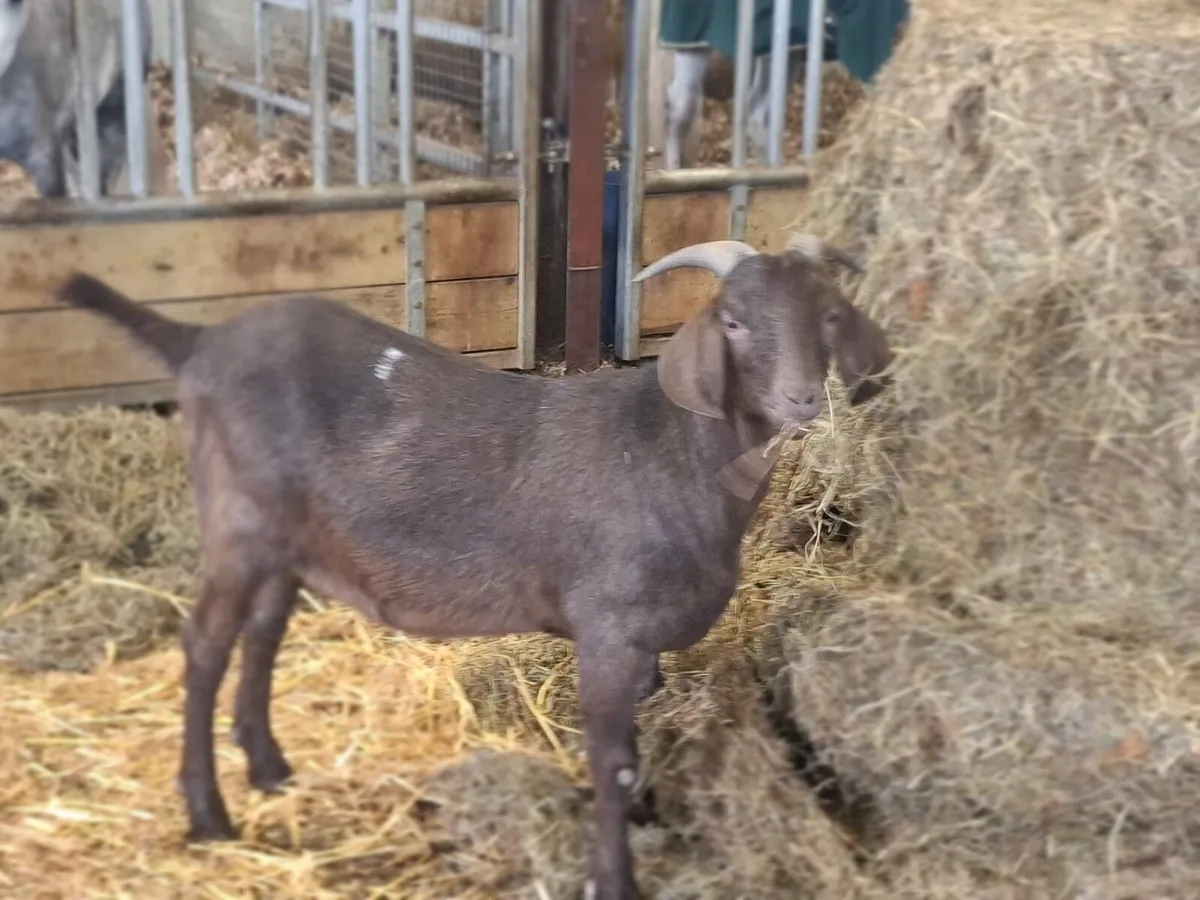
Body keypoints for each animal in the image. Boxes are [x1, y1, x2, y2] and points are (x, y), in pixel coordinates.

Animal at [54, 235, 892, 900]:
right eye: (733, 321)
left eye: (828, 316)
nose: (801, 399)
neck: (676, 452)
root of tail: (201, 341)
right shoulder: (609, 630)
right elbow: (613, 761)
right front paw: (614, 877)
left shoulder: (642, 644)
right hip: (238, 525)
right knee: (204, 649)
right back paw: (209, 813)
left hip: (288, 545)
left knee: (260, 638)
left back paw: (268, 769)